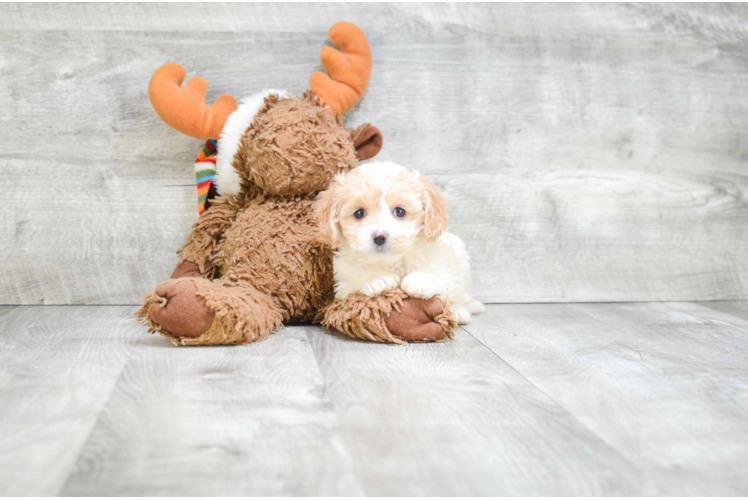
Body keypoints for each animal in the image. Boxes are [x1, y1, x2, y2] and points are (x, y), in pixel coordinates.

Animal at [312, 160, 482, 324]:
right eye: (359, 213)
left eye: (400, 211)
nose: (379, 236)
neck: (391, 262)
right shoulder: (342, 289)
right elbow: (356, 283)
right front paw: (377, 279)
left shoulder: (444, 269)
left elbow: (442, 284)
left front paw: (420, 281)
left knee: (460, 296)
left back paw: (460, 313)